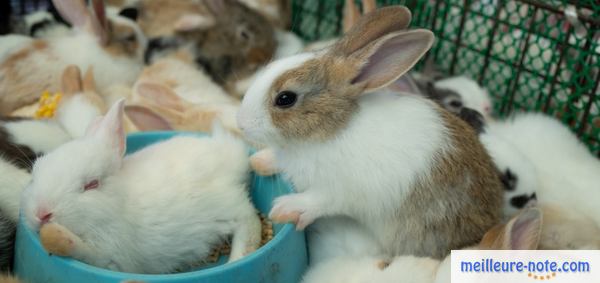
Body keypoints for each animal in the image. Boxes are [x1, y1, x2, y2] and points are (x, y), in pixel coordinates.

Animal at [21, 100, 260, 276]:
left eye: (92, 184)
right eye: (36, 170)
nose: (42, 213)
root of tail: (232, 154)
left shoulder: (109, 255)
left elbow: (84, 251)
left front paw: (59, 237)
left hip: (227, 207)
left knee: (250, 222)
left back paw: (236, 259)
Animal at [234, 6, 502, 260]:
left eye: (285, 99)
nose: (241, 123)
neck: (332, 128)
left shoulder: (338, 191)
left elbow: (318, 200)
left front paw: (284, 209)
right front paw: (259, 161)